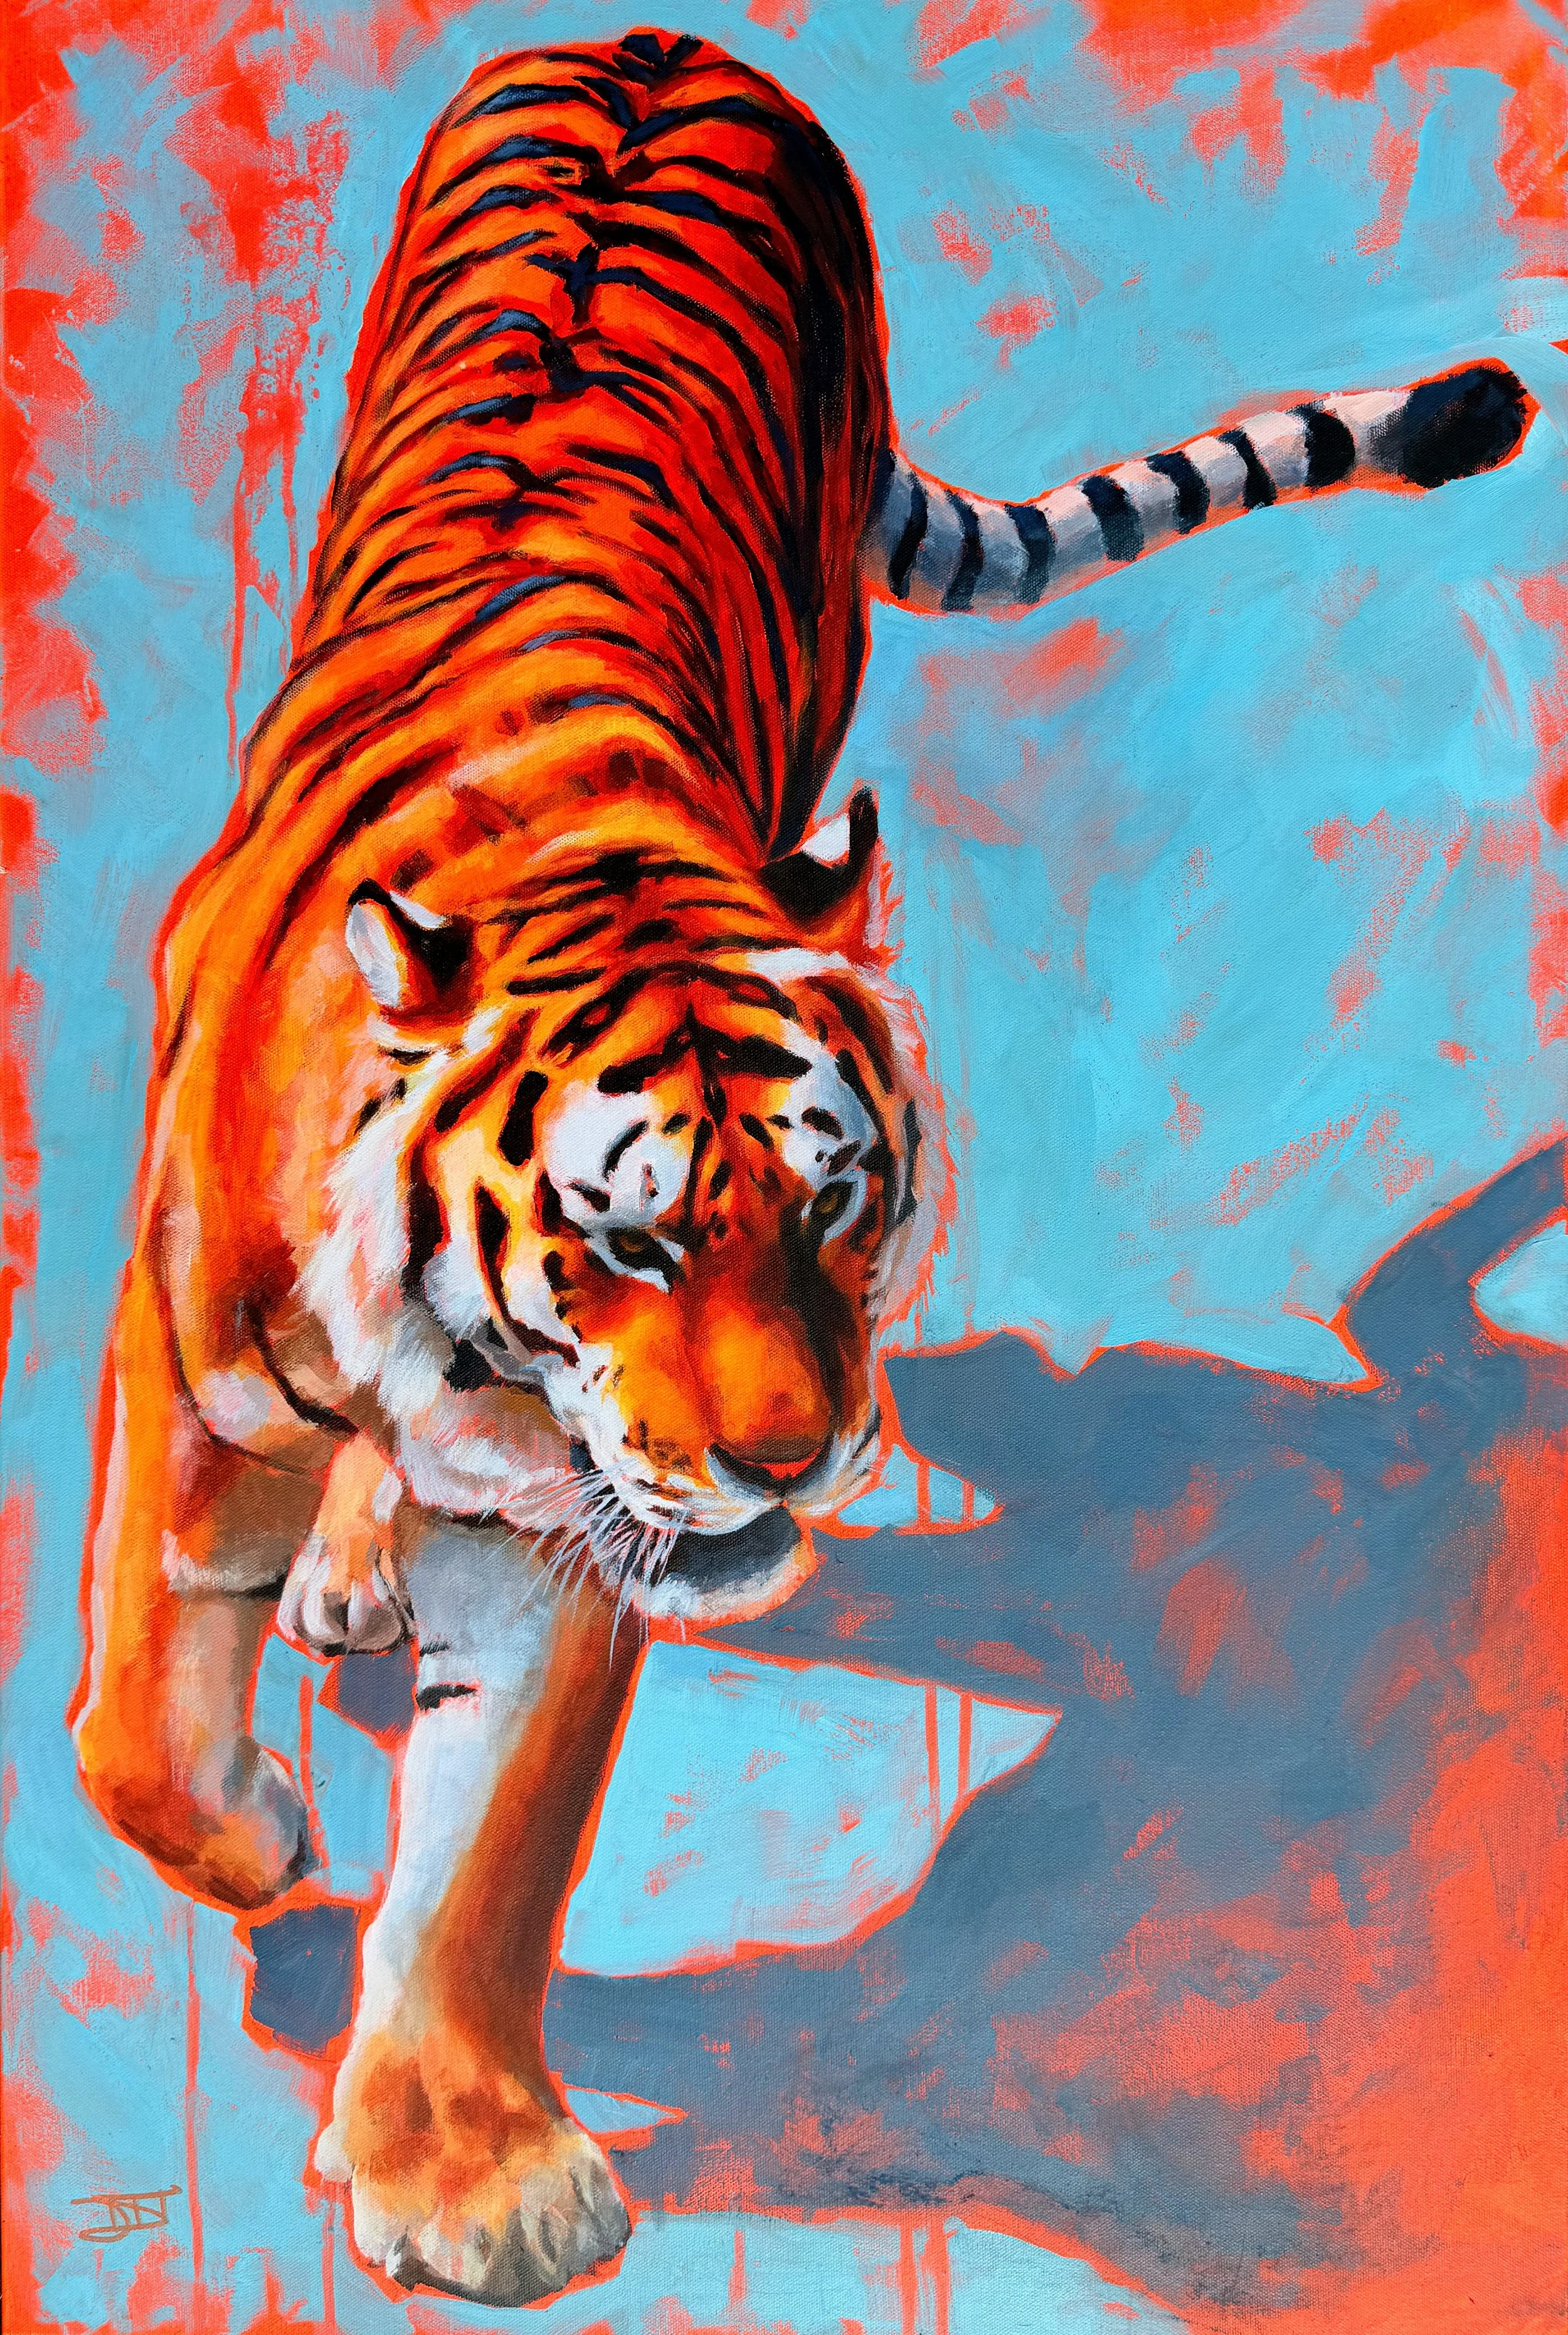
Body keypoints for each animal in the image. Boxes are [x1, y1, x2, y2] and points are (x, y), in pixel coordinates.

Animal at [71, 25, 1534, 2310]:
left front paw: (473, 2177)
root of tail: (662, 39)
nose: (795, 1459)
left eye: (839, 1202)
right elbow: (143, 1709)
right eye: (625, 1239)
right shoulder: (199, 1357)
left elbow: (489, 1852)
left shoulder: (568, 1531)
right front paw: (249, 1839)